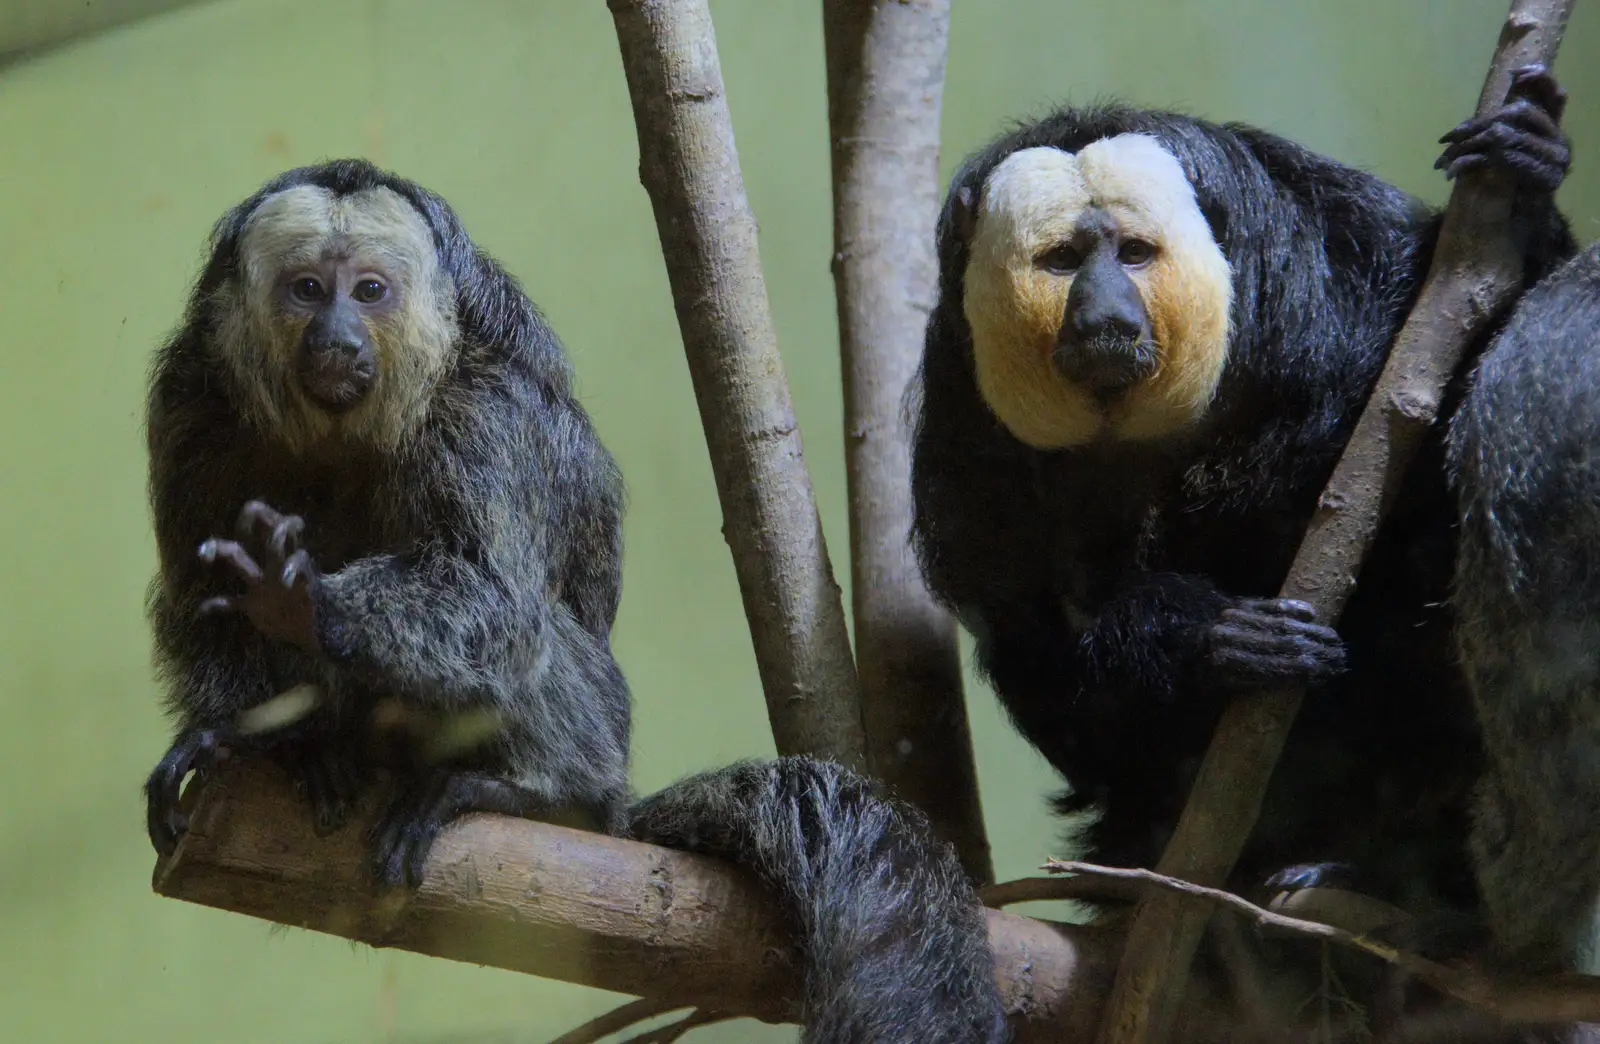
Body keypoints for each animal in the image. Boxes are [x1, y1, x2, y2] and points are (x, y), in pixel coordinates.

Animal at [144, 159, 1004, 1044]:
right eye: (309, 289)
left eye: (371, 290)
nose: (337, 337)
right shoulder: (190, 409)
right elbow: (196, 597)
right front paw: (247, 737)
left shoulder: (485, 415)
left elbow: (495, 599)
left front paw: (307, 605)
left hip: (603, 729)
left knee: (539, 639)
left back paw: (535, 790)